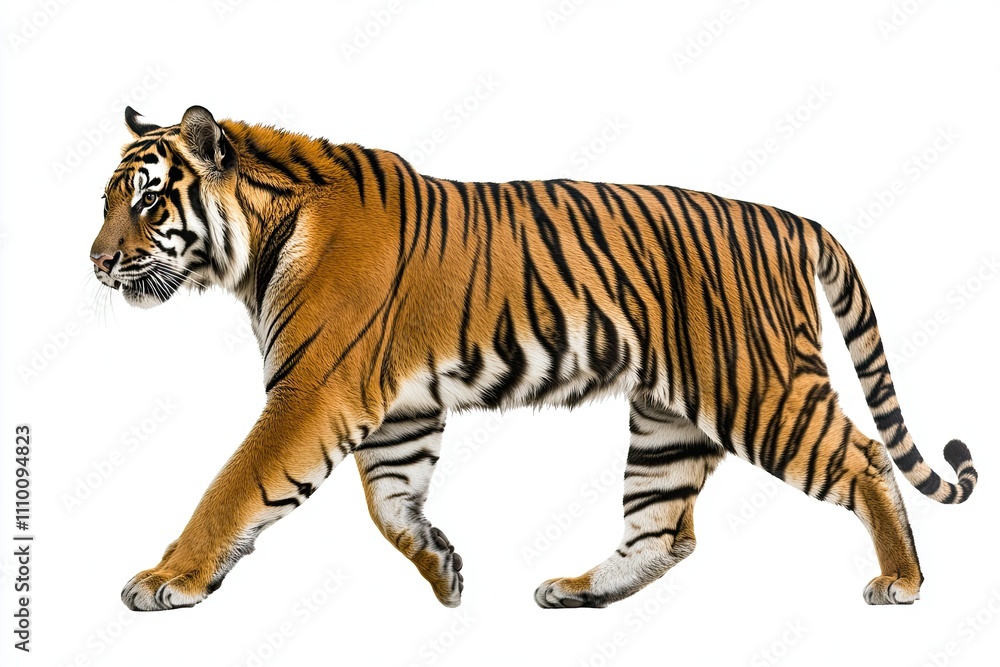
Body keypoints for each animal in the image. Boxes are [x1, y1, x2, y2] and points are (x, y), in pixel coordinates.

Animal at [91, 105, 977, 612]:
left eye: (147, 201)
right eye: (105, 202)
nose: (96, 262)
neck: (256, 241)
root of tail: (795, 220)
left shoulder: (311, 390)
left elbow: (234, 486)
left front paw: (169, 578)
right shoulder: (400, 409)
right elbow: (388, 501)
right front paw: (442, 566)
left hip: (760, 388)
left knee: (866, 458)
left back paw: (903, 581)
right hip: (668, 417)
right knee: (665, 528)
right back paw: (579, 591)